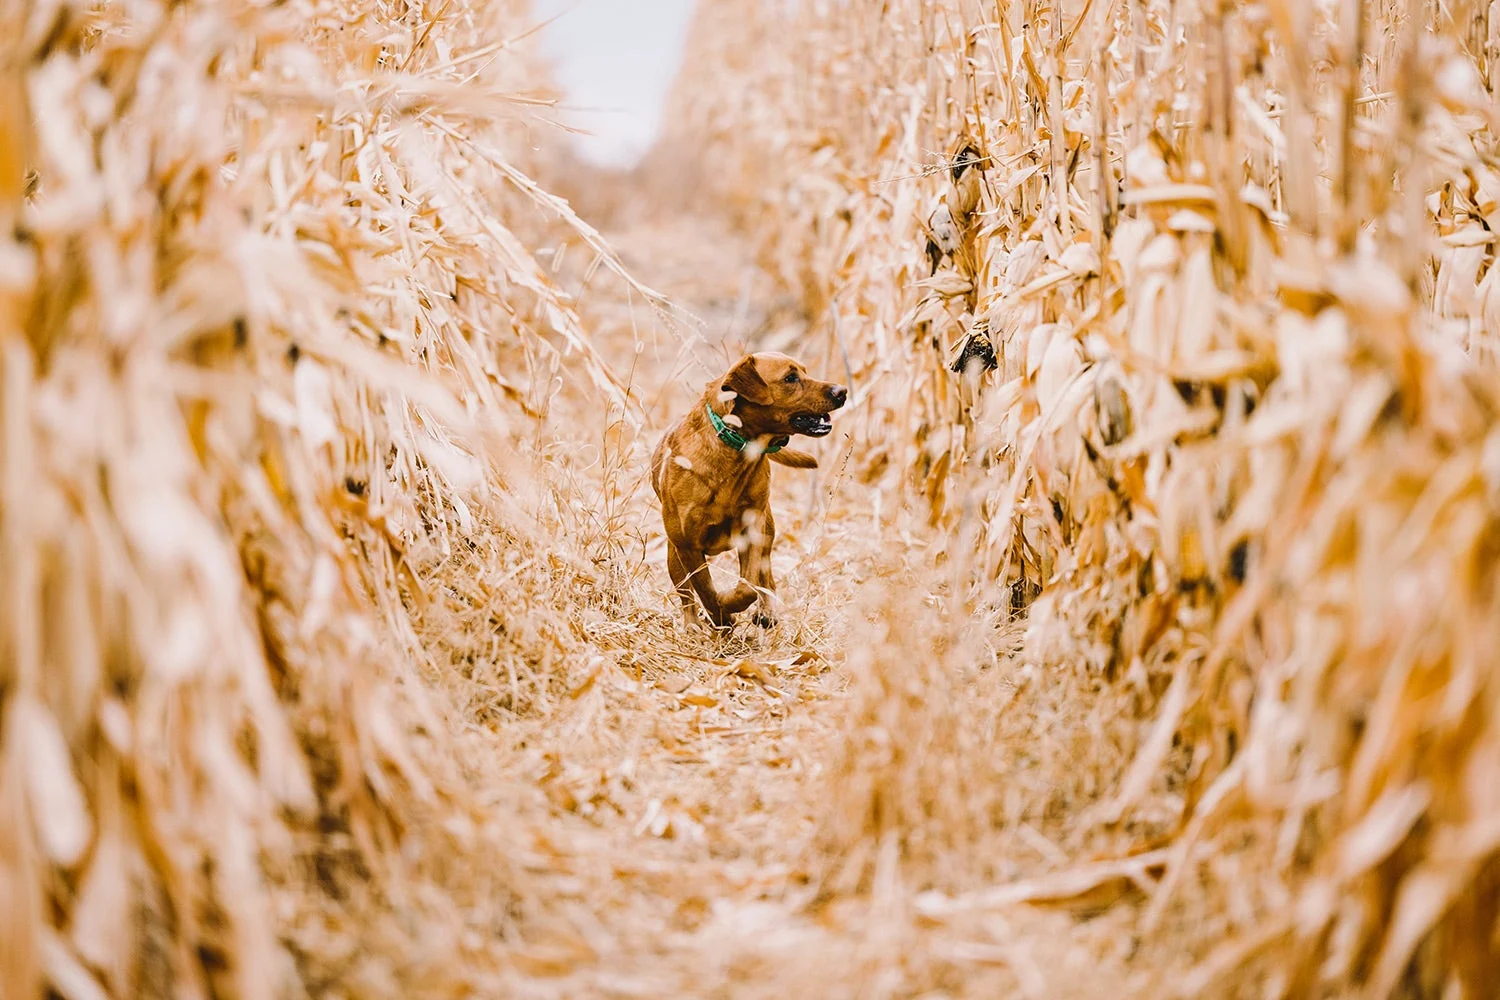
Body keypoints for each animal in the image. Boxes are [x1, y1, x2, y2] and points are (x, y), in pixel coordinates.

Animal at [651, 352, 852, 629]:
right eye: (791, 378)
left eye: (804, 372)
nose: (841, 391)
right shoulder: (688, 545)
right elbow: (704, 588)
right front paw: (721, 615)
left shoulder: (752, 529)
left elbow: (747, 585)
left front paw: (729, 606)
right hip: (674, 554)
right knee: (686, 595)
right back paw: (693, 626)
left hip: (767, 529)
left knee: (766, 576)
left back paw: (766, 612)